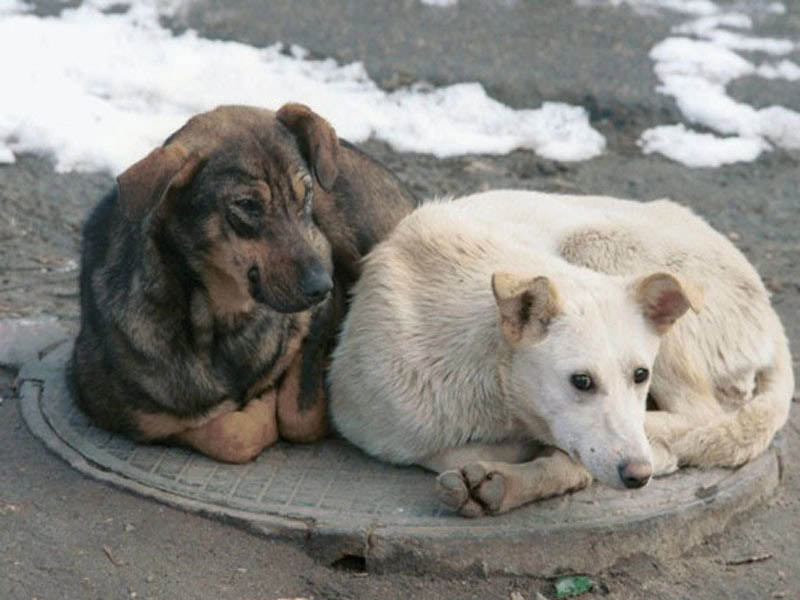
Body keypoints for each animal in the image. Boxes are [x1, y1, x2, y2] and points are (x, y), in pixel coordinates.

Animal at [69, 103, 416, 462]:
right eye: (248, 205)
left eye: (305, 194)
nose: (322, 286)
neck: (221, 320)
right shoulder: (120, 410)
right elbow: (228, 433)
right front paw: (258, 407)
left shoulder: (320, 279)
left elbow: (298, 415)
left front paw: (270, 398)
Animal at [328, 191, 792, 516]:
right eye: (581, 381)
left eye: (640, 375)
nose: (637, 475)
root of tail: (772, 313)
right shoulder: (367, 425)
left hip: (600, 244)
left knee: (704, 414)